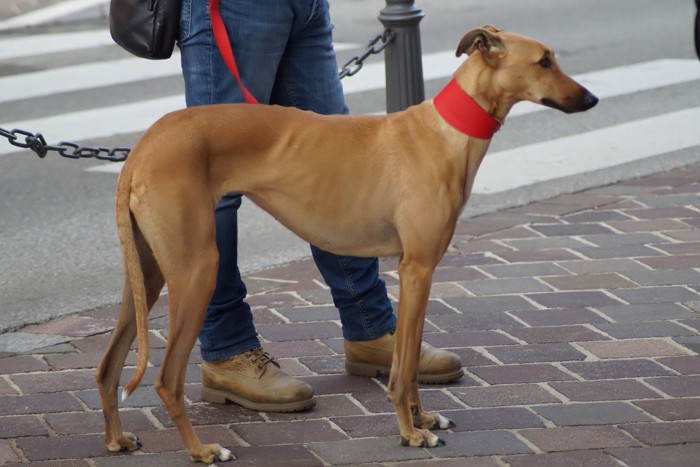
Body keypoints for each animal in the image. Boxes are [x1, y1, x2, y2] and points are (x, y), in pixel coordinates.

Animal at [94, 26, 596, 464]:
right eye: (544, 61)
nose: (591, 99)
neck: (441, 134)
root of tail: (143, 147)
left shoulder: (414, 272)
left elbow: (409, 354)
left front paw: (422, 418)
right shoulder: (418, 268)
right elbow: (404, 368)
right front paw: (410, 433)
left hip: (147, 275)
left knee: (107, 365)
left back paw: (117, 440)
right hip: (197, 271)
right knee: (166, 379)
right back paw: (201, 450)